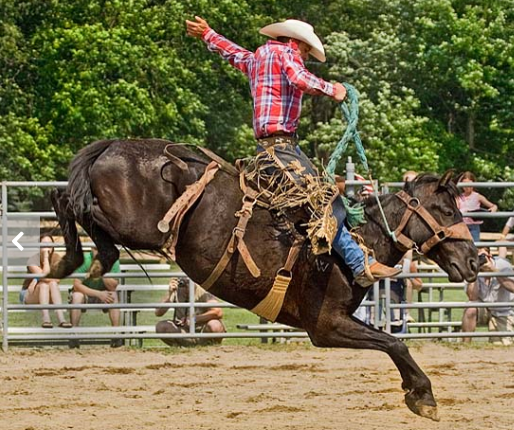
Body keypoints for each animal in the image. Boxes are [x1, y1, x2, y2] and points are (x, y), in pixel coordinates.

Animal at [49, 139, 476, 422]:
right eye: (446, 209)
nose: (475, 260)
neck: (356, 241)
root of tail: (112, 145)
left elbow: (391, 342)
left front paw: (416, 393)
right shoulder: (325, 325)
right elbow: (394, 342)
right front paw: (423, 396)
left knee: (64, 200)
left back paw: (75, 261)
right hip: (134, 225)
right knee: (72, 204)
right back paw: (85, 260)